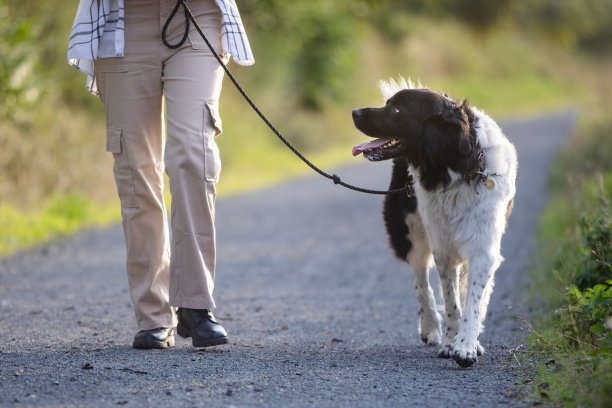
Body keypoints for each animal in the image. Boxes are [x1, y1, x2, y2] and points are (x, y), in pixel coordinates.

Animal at [352, 78, 520, 368]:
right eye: (388, 104)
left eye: (396, 110)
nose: (355, 112)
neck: (458, 169)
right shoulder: (444, 248)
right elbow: (452, 302)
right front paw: (452, 343)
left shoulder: (483, 250)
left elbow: (474, 301)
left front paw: (466, 346)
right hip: (410, 232)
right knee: (422, 283)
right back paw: (430, 327)